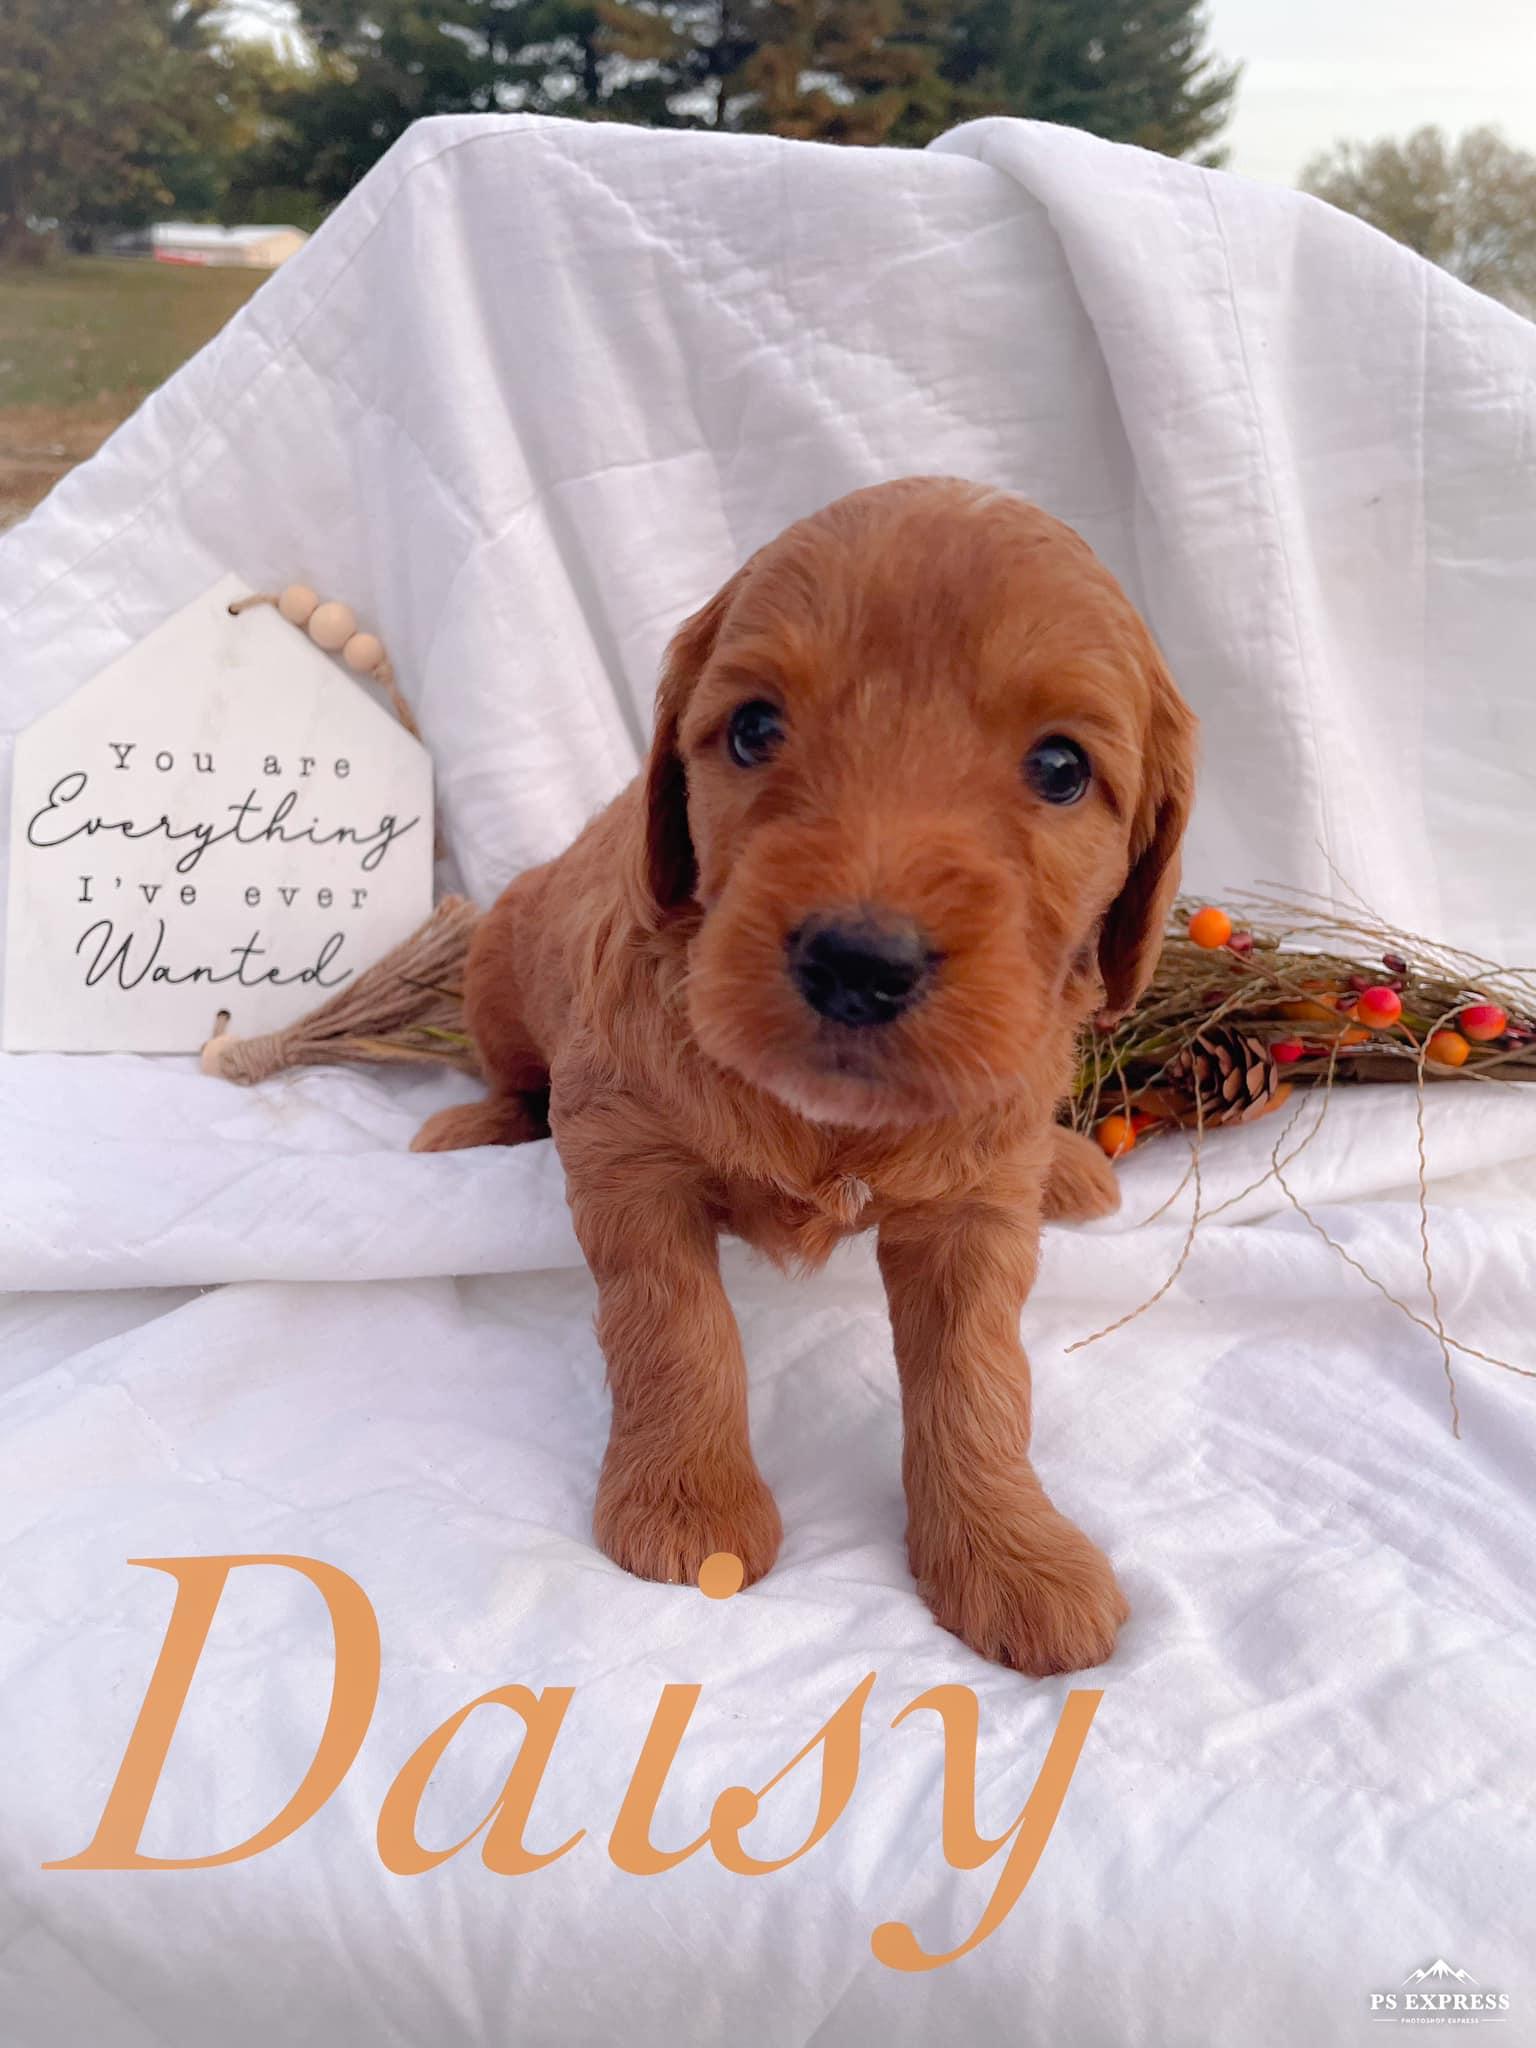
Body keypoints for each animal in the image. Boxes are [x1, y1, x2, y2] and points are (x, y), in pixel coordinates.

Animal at [415, 477, 1197, 1675]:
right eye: (753, 728)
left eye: (1062, 768)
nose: (857, 963)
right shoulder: (626, 1154)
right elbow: (676, 1328)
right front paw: (686, 1504)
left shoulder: (973, 1216)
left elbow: (978, 1376)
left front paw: (1011, 1550)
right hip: (500, 967)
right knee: (515, 1078)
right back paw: (472, 1126)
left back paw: (1062, 1162)